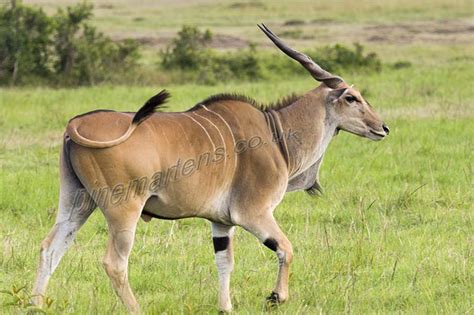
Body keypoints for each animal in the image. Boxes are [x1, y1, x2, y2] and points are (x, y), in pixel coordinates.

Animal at [32, 24, 388, 314]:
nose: (382, 128)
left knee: (51, 248)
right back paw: (136, 310)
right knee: (114, 263)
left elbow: (224, 262)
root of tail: (76, 124)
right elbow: (286, 249)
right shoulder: (254, 213)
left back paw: (34, 305)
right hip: (124, 209)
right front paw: (276, 297)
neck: (276, 133)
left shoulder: (221, 222)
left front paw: (225, 307)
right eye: (353, 98)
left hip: (77, 203)